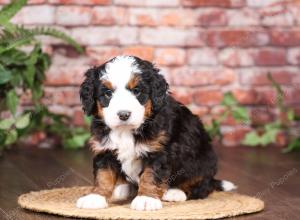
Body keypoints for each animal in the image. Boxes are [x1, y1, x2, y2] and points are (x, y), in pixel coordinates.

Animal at [76, 55, 236, 211]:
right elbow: (103, 175)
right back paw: (122, 188)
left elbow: (151, 175)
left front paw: (146, 199)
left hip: (202, 161)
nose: (123, 114)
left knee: (201, 186)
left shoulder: (159, 151)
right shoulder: (105, 149)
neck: (126, 130)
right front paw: (96, 196)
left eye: (137, 91)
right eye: (108, 93)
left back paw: (175, 192)